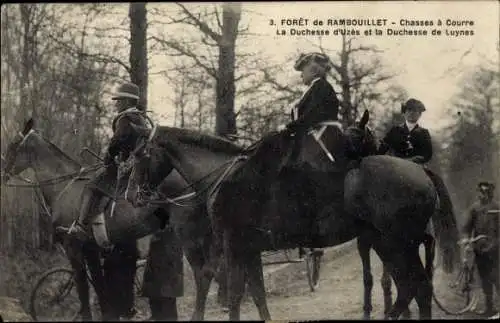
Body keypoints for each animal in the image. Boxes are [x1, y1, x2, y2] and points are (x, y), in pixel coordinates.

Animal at [127, 111, 458, 322]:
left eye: (140, 155)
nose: (131, 195)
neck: (224, 177)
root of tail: (419, 169)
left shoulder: (232, 246)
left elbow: (232, 292)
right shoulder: (248, 250)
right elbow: (257, 294)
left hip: (396, 243)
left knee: (417, 287)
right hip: (387, 244)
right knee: (414, 288)